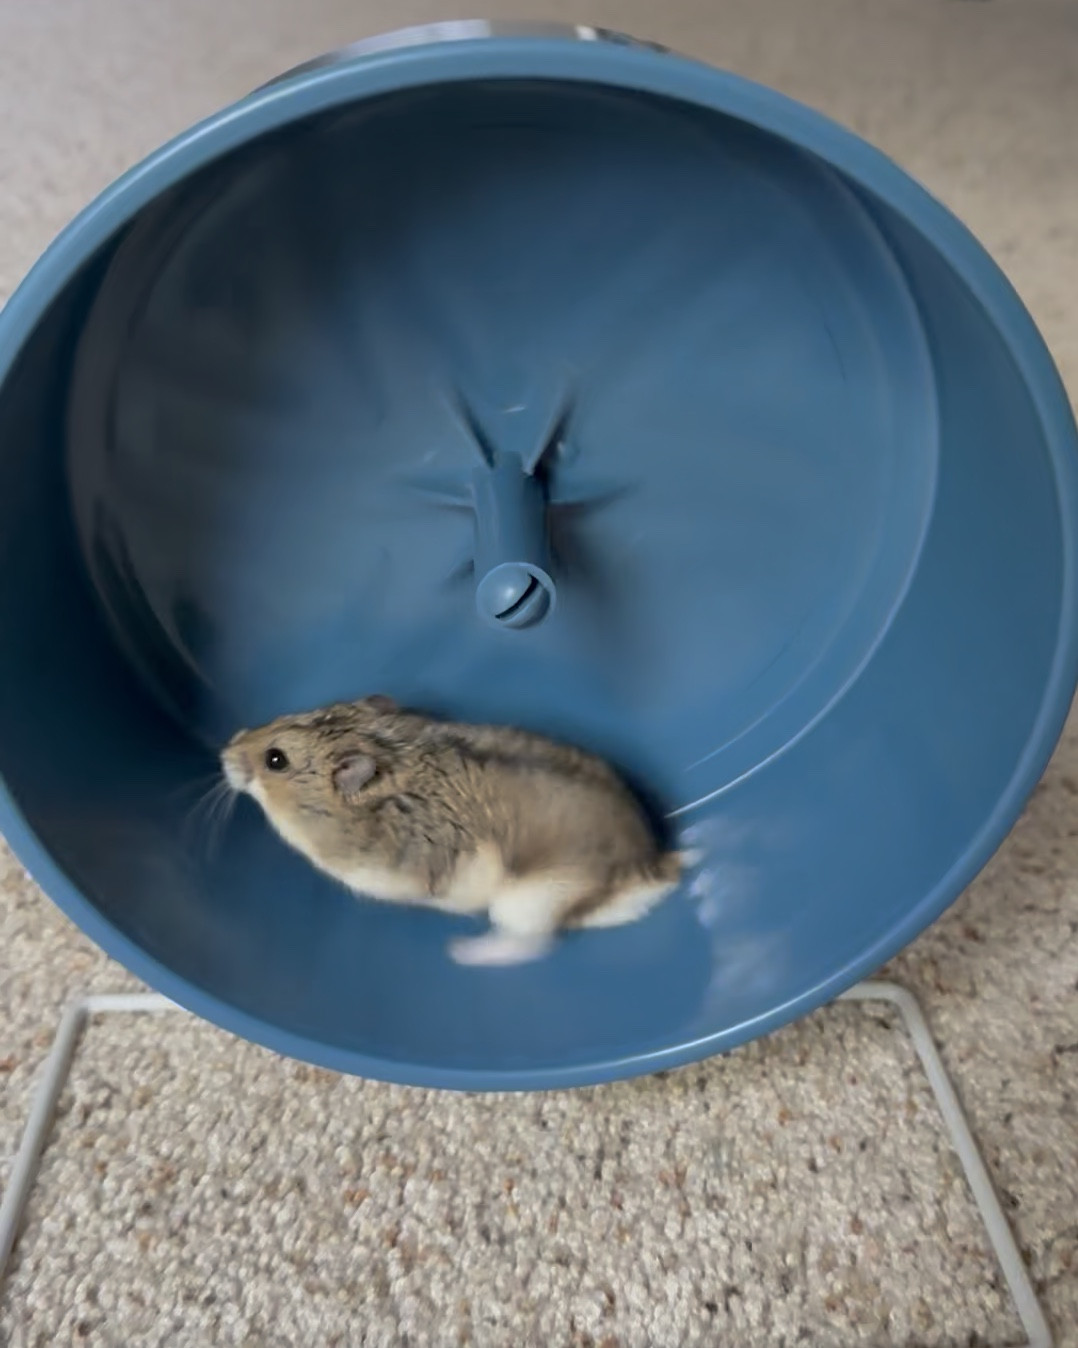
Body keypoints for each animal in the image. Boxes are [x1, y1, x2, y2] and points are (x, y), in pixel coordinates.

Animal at [221, 695, 685, 966]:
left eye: (275, 760)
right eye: (290, 715)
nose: (225, 750)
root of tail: (652, 865)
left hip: (527, 903)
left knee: (533, 945)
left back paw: (464, 953)